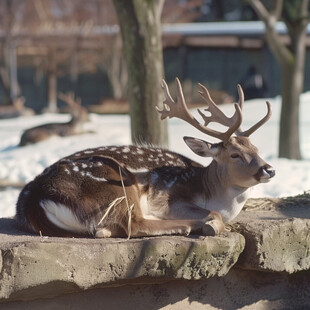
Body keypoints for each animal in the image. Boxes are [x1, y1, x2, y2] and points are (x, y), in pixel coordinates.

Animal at [15, 78, 274, 239]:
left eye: (256, 148)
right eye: (234, 154)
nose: (269, 169)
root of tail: (32, 201)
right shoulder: (171, 198)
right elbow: (213, 214)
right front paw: (210, 224)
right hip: (116, 186)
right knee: (135, 224)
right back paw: (192, 226)